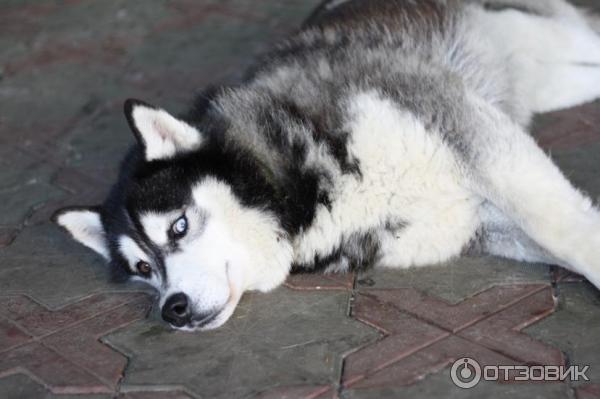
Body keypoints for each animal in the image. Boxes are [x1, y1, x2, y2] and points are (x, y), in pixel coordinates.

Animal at [55, 0, 600, 332]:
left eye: (179, 226)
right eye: (144, 268)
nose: (173, 309)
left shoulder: (465, 126)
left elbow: (565, 233)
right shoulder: (479, 220)